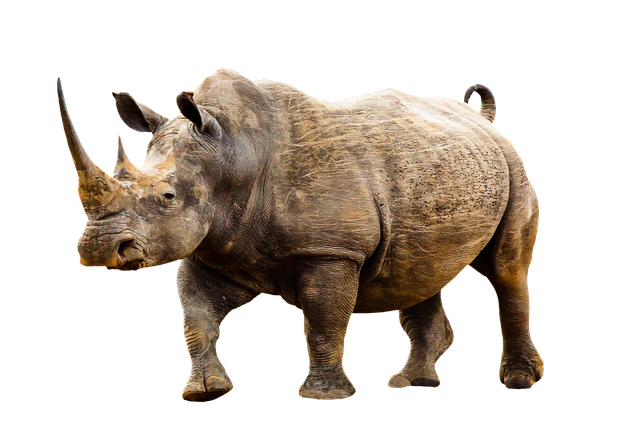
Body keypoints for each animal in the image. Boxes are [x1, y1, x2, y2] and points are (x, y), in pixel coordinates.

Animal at [57, 67, 544, 402]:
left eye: (167, 197)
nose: (99, 248)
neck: (232, 153)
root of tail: (483, 119)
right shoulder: (212, 245)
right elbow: (196, 316)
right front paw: (205, 391)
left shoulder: (330, 250)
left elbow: (323, 320)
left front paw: (324, 395)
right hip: (440, 167)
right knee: (419, 269)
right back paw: (412, 383)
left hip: (512, 166)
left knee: (507, 270)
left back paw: (518, 381)